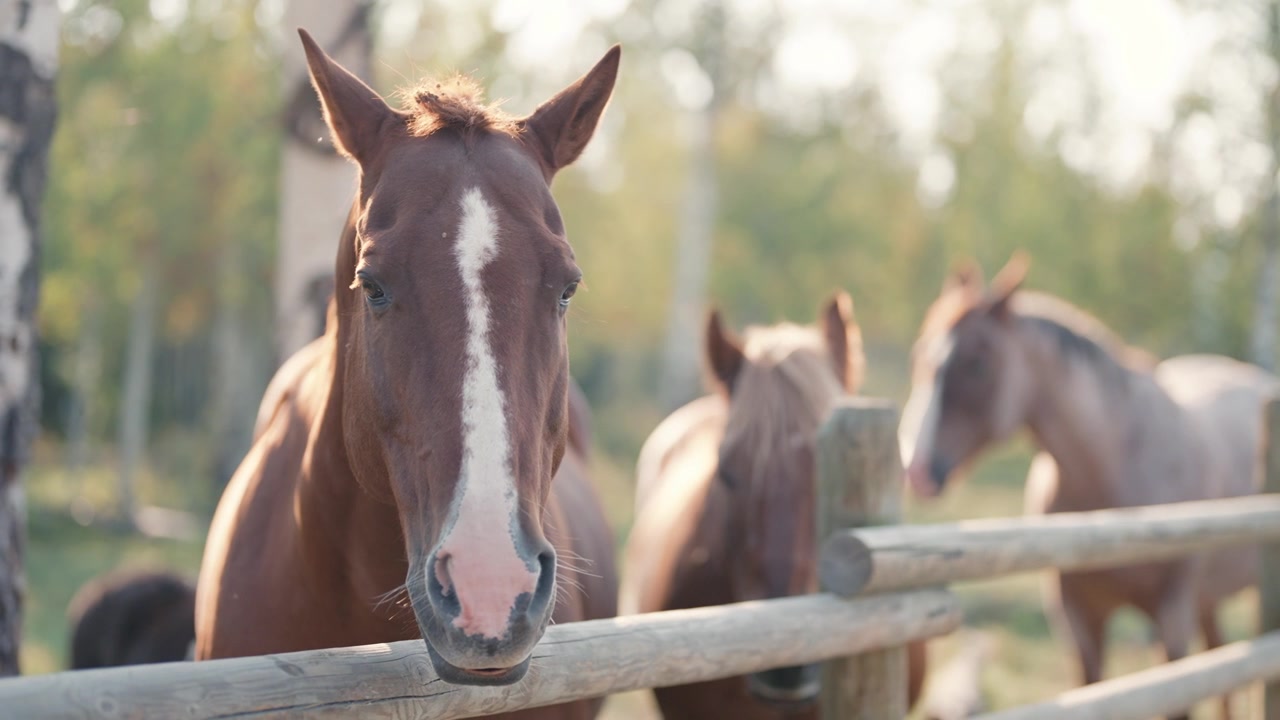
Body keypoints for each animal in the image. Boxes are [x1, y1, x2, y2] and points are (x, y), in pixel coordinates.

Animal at [898, 253, 1279, 720]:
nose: (914, 468)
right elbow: (1092, 689)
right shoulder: (1078, 619)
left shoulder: (1172, 619)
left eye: (977, 363)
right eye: (919, 356)